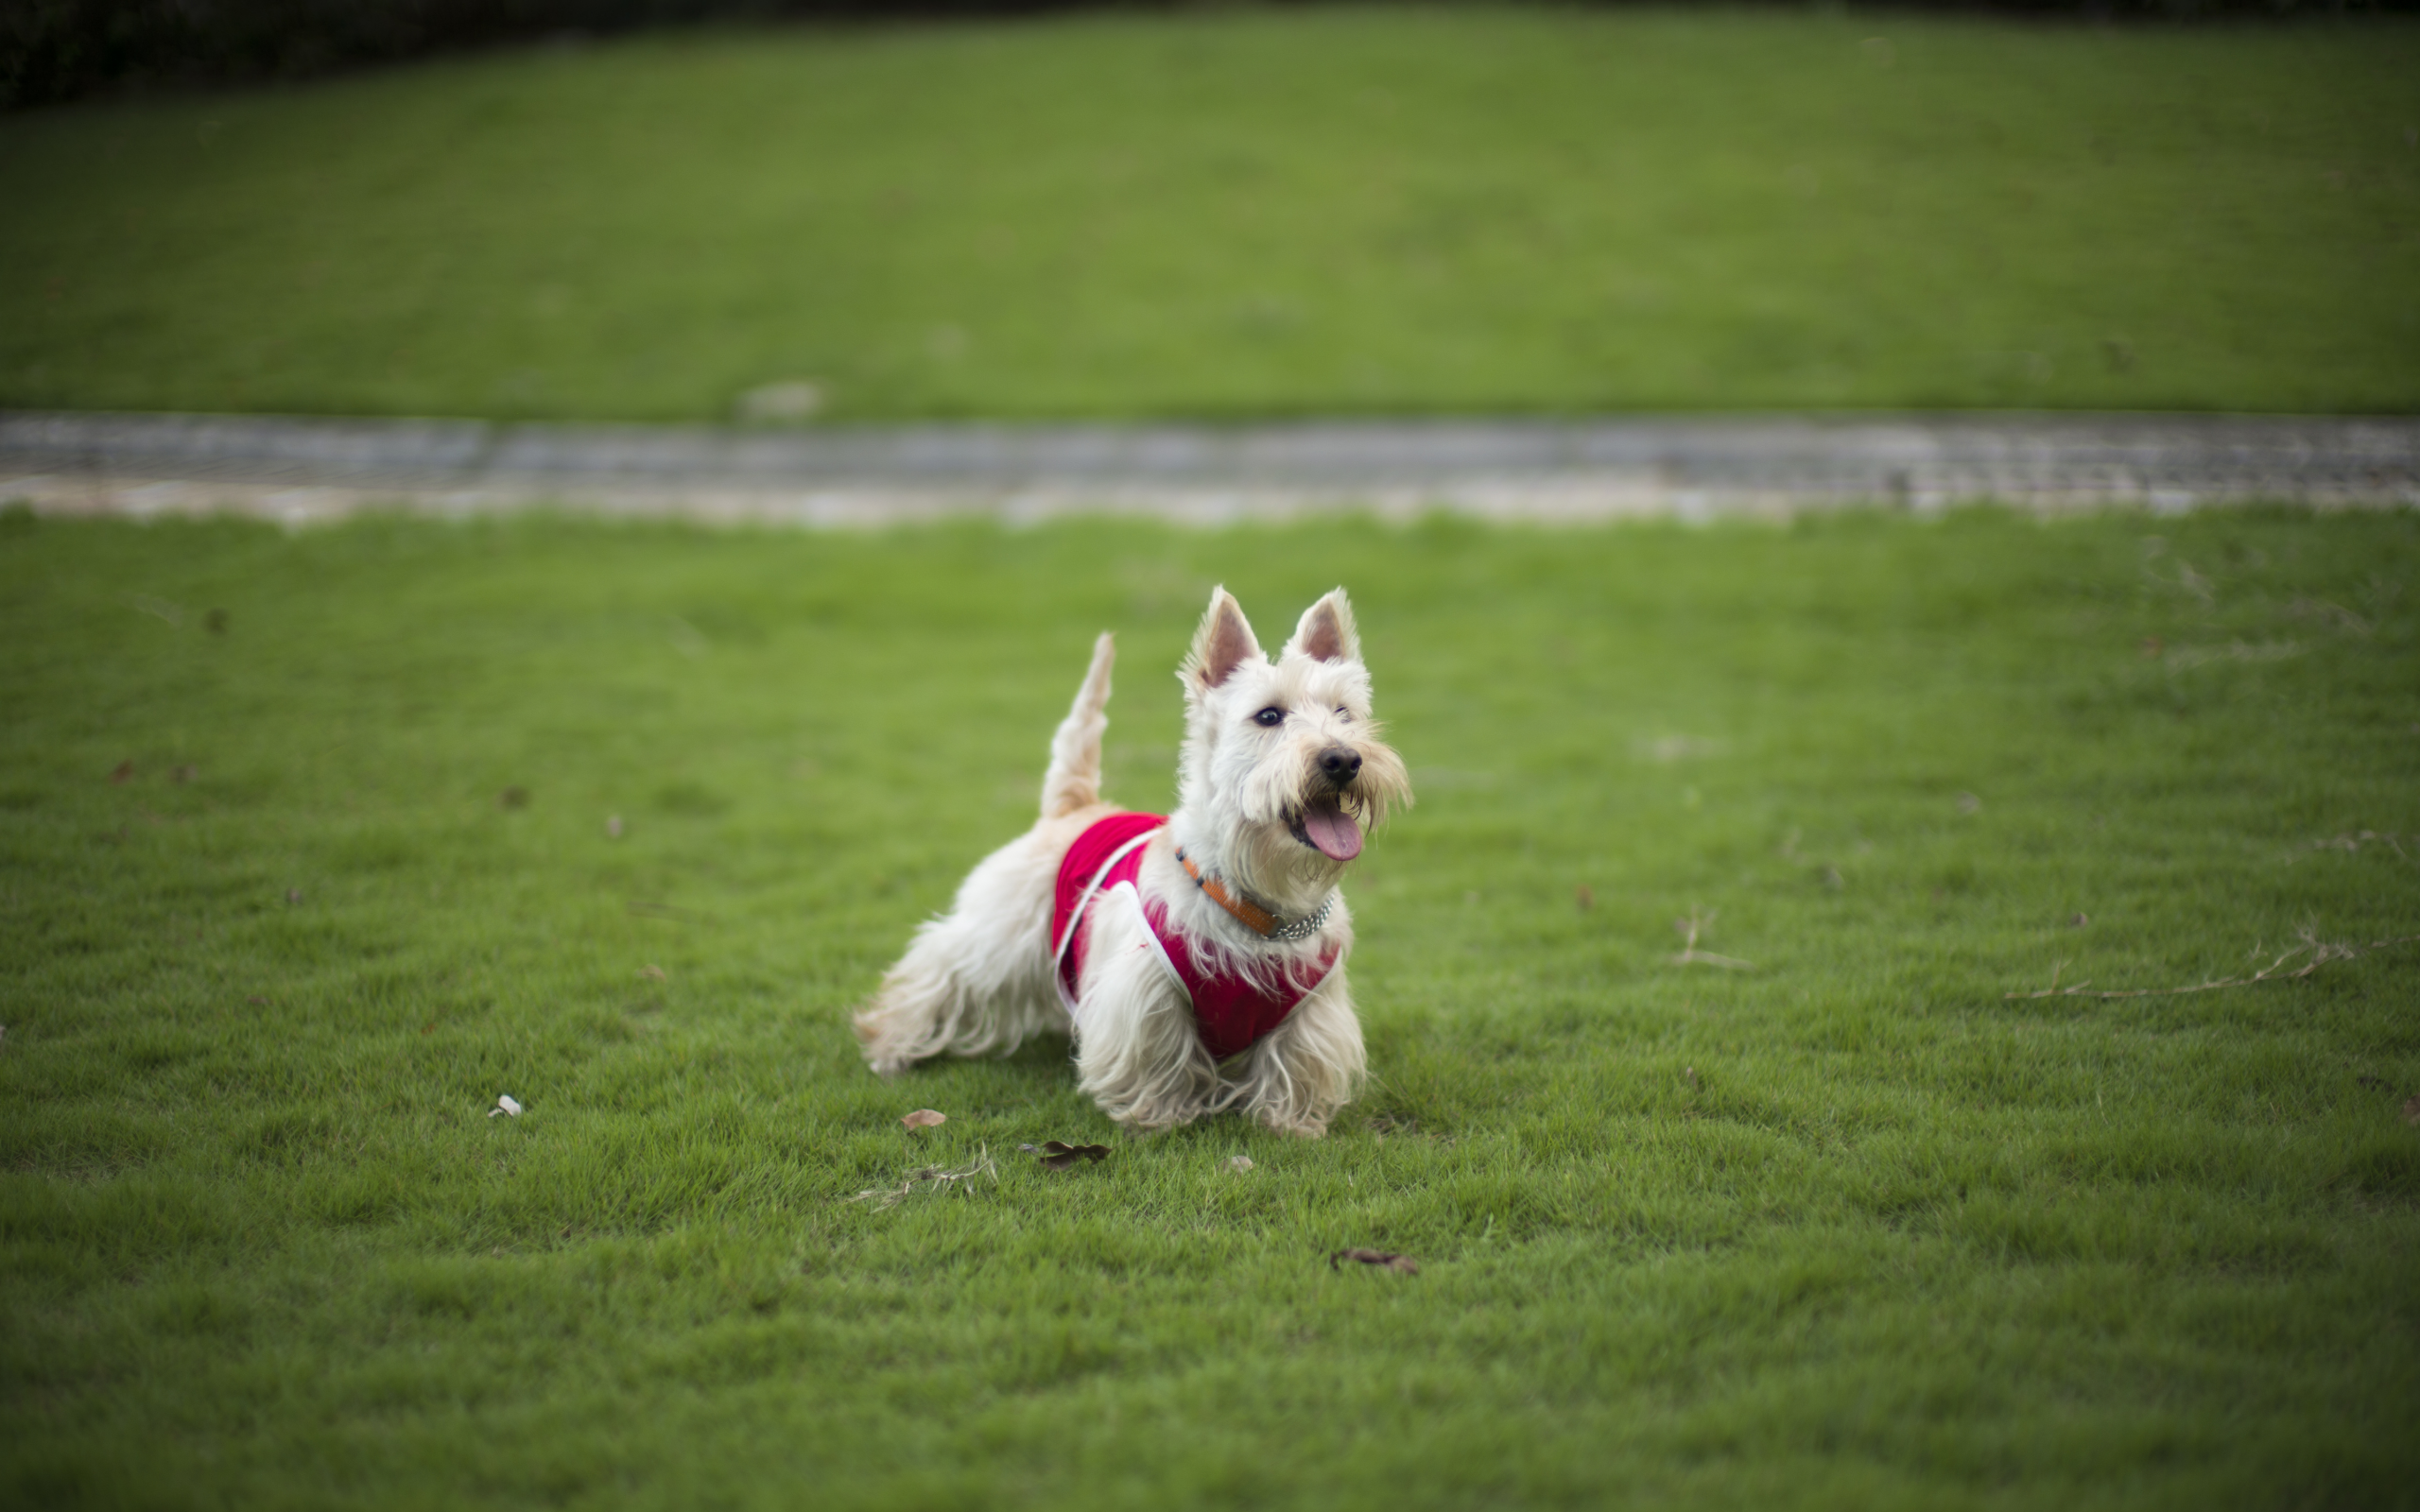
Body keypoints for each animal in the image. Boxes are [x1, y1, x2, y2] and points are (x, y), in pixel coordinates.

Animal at [856, 588, 1413, 1132]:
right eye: (1269, 715)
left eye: (1343, 712)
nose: (1343, 759)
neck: (1257, 898)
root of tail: (1075, 805)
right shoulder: (1144, 991)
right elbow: (1157, 1054)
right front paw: (1161, 1118)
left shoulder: (1310, 1007)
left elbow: (1294, 1062)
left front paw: (1289, 1123)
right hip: (996, 936)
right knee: (935, 971)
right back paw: (888, 1044)